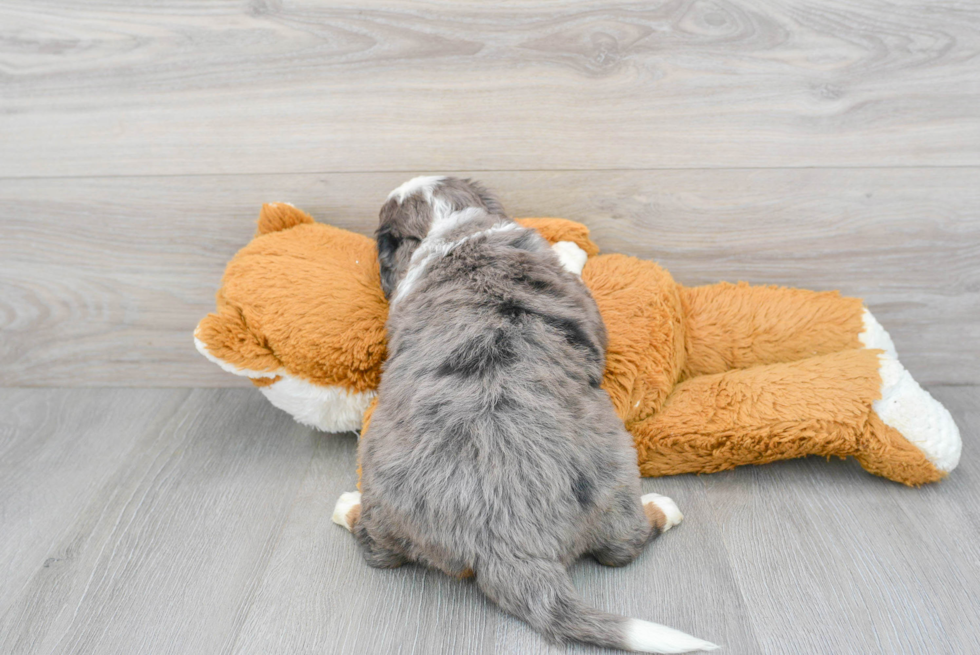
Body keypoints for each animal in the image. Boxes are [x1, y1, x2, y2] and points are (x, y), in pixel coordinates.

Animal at [334, 177, 716, 652]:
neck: (452, 229)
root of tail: (503, 540)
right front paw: (572, 246)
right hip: (618, 474)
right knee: (624, 546)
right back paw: (662, 506)